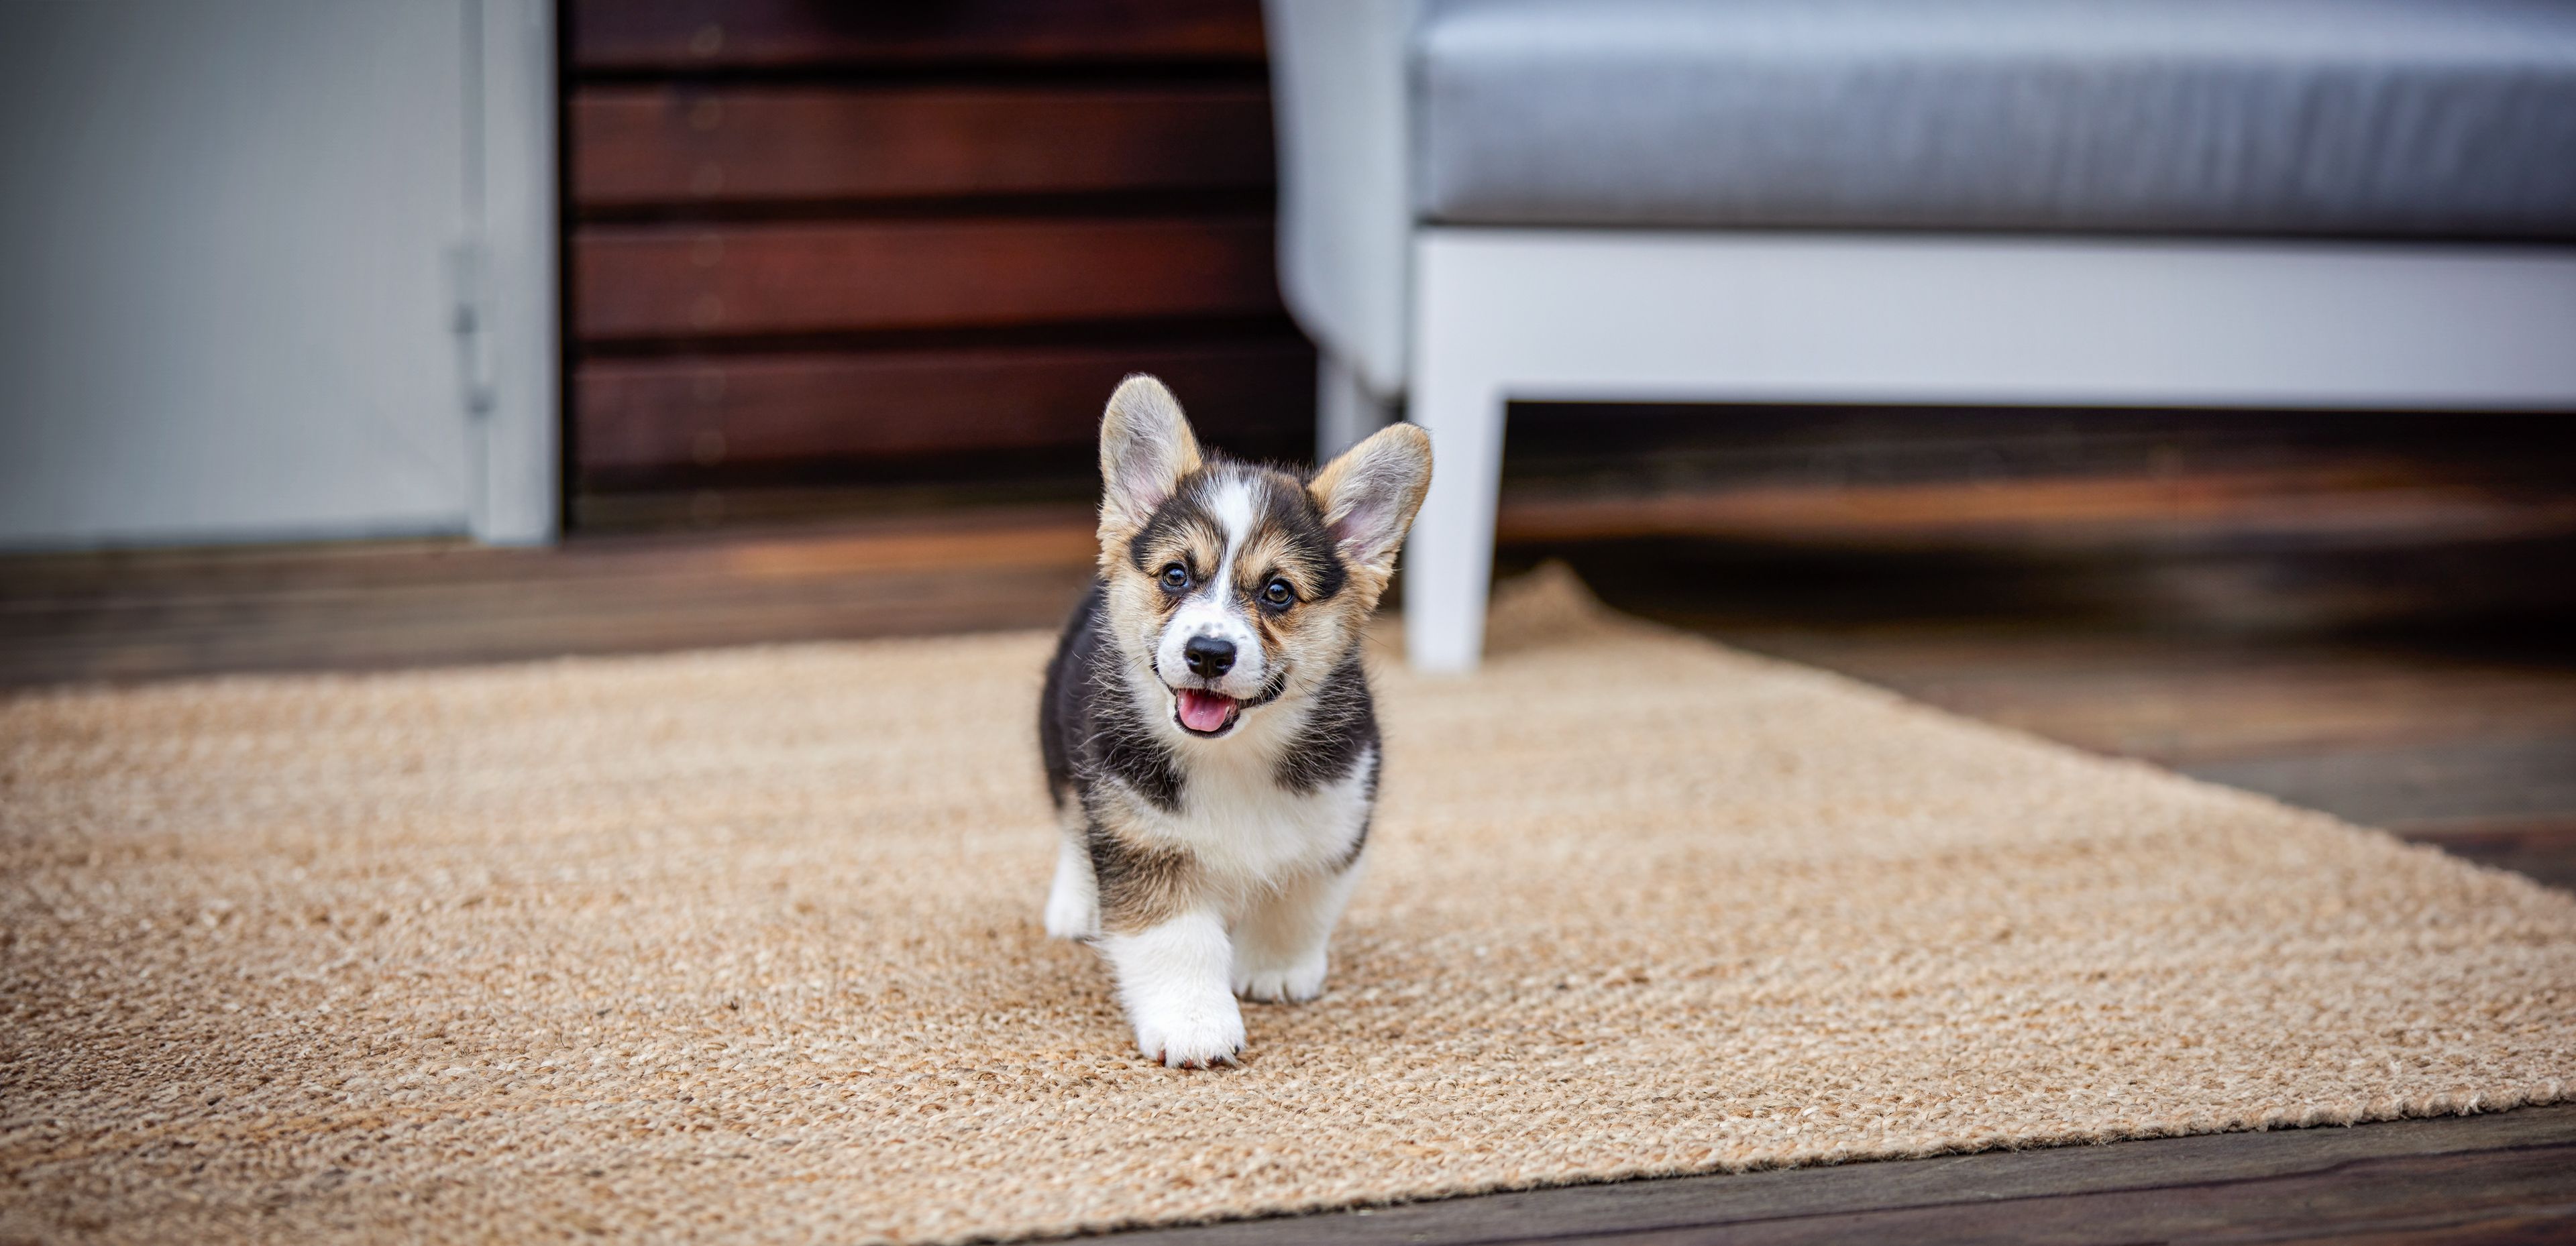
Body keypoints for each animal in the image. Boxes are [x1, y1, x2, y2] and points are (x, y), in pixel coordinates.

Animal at [1030, 376, 1432, 1066]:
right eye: (1175, 574)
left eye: (1278, 592)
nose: (1209, 654)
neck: (1233, 755)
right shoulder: (1144, 841)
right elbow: (1176, 942)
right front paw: (1194, 1025)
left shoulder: (1337, 822)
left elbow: (1299, 905)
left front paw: (1275, 971)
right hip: (1060, 740)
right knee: (1070, 821)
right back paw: (1076, 905)